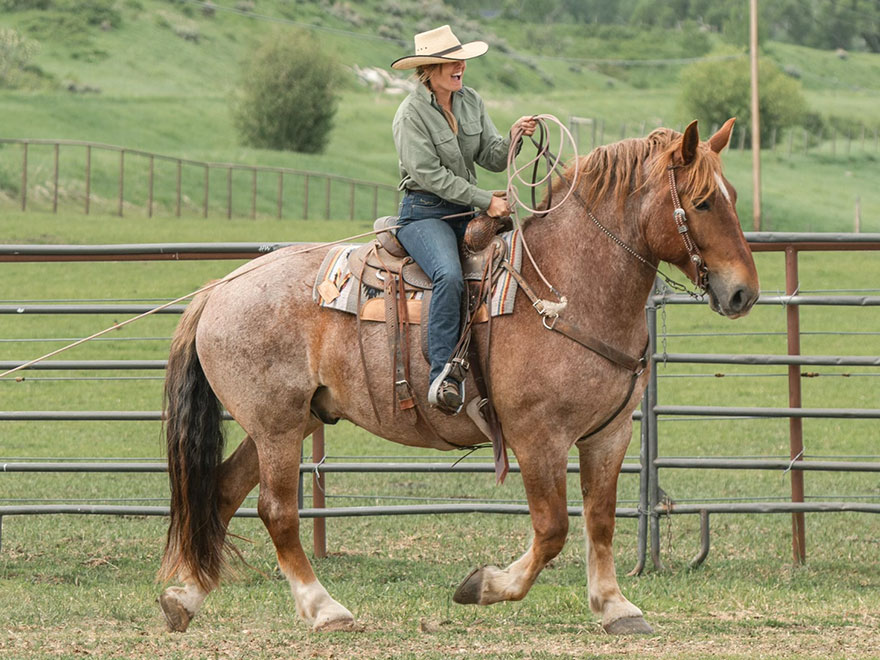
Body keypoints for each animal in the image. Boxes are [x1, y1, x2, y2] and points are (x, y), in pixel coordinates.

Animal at [156, 118, 756, 636]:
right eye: (702, 201)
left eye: (731, 196)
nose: (742, 292)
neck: (565, 286)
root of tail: (219, 289)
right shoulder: (537, 437)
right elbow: (553, 529)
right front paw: (484, 585)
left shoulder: (609, 434)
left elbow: (600, 521)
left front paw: (614, 607)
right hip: (276, 426)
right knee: (276, 511)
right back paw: (324, 608)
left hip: (289, 422)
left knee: (222, 491)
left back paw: (184, 597)